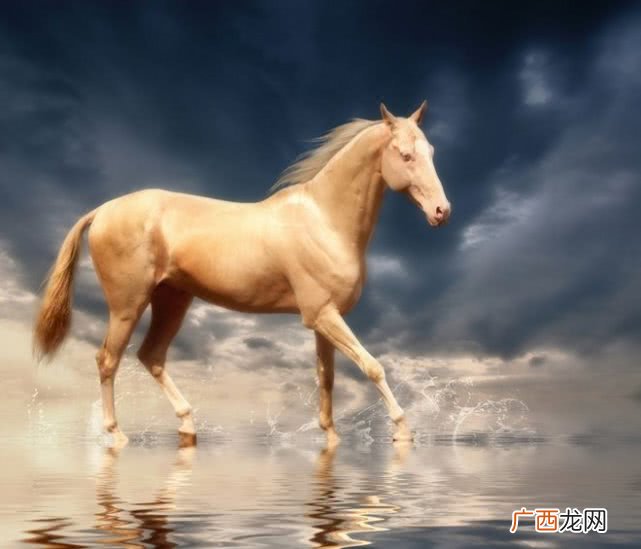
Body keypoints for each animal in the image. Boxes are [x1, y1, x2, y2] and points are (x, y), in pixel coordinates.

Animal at [33, 102, 451, 447]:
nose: (441, 211)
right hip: (127, 305)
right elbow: (372, 366)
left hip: (173, 300)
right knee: (108, 360)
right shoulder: (322, 315)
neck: (324, 219)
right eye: (406, 154)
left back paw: (187, 425)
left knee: (151, 356)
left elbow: (327, 379)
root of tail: (102, 210)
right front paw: (402, 429)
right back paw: (117, 435)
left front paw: (330, 436)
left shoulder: (325, 321)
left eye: (431, 152)